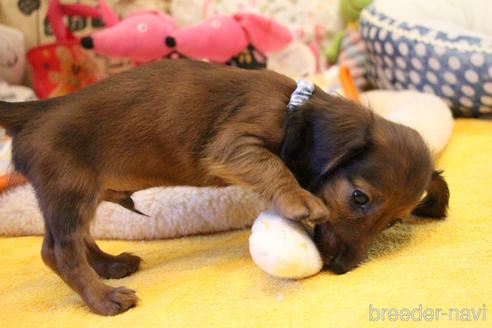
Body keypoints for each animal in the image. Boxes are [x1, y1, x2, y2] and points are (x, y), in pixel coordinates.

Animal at [0, 59, 448, 316]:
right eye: (359, 198)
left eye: (392, 224)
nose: (341, 269)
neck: (295, 109)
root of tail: (34, 113)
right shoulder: (234, 142)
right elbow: (274, 166)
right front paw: (299, 199)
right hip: (71, 189)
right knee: (58, 251)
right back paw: (103, 298)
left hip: (80, 195)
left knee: (73, 240)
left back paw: (109, 266)